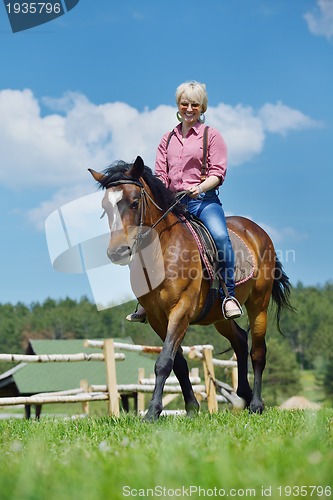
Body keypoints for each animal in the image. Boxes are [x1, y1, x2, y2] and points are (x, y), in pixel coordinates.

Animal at [89, 156, 294, 418]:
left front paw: (152, 412)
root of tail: (257, 231)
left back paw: (256, 404)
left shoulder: (181, 309)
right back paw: (244, 395)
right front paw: (191, 408)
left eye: (134, 202)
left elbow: (164, 361)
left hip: (259, 303)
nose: (117, 252)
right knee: (239, 339)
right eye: (105, 207)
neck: (162, 252)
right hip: (219, 315)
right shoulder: (157, 317)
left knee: (258, 351)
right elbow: (177, 362)